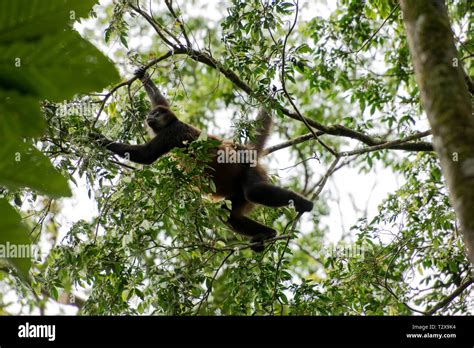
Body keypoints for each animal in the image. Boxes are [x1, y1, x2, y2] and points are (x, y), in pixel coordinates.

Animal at [93, 66, 314, 250]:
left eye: (156, 114)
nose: (149, 117)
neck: (170, 123)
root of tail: (245, 150)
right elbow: (162, 101)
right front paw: (144, 76)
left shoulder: (173, 131)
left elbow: (145, 155)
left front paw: (97, 137)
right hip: (237, 191)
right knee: (228, 213)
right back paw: (268, 233)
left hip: (249, 169)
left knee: (254, 191)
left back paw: (304, 205)